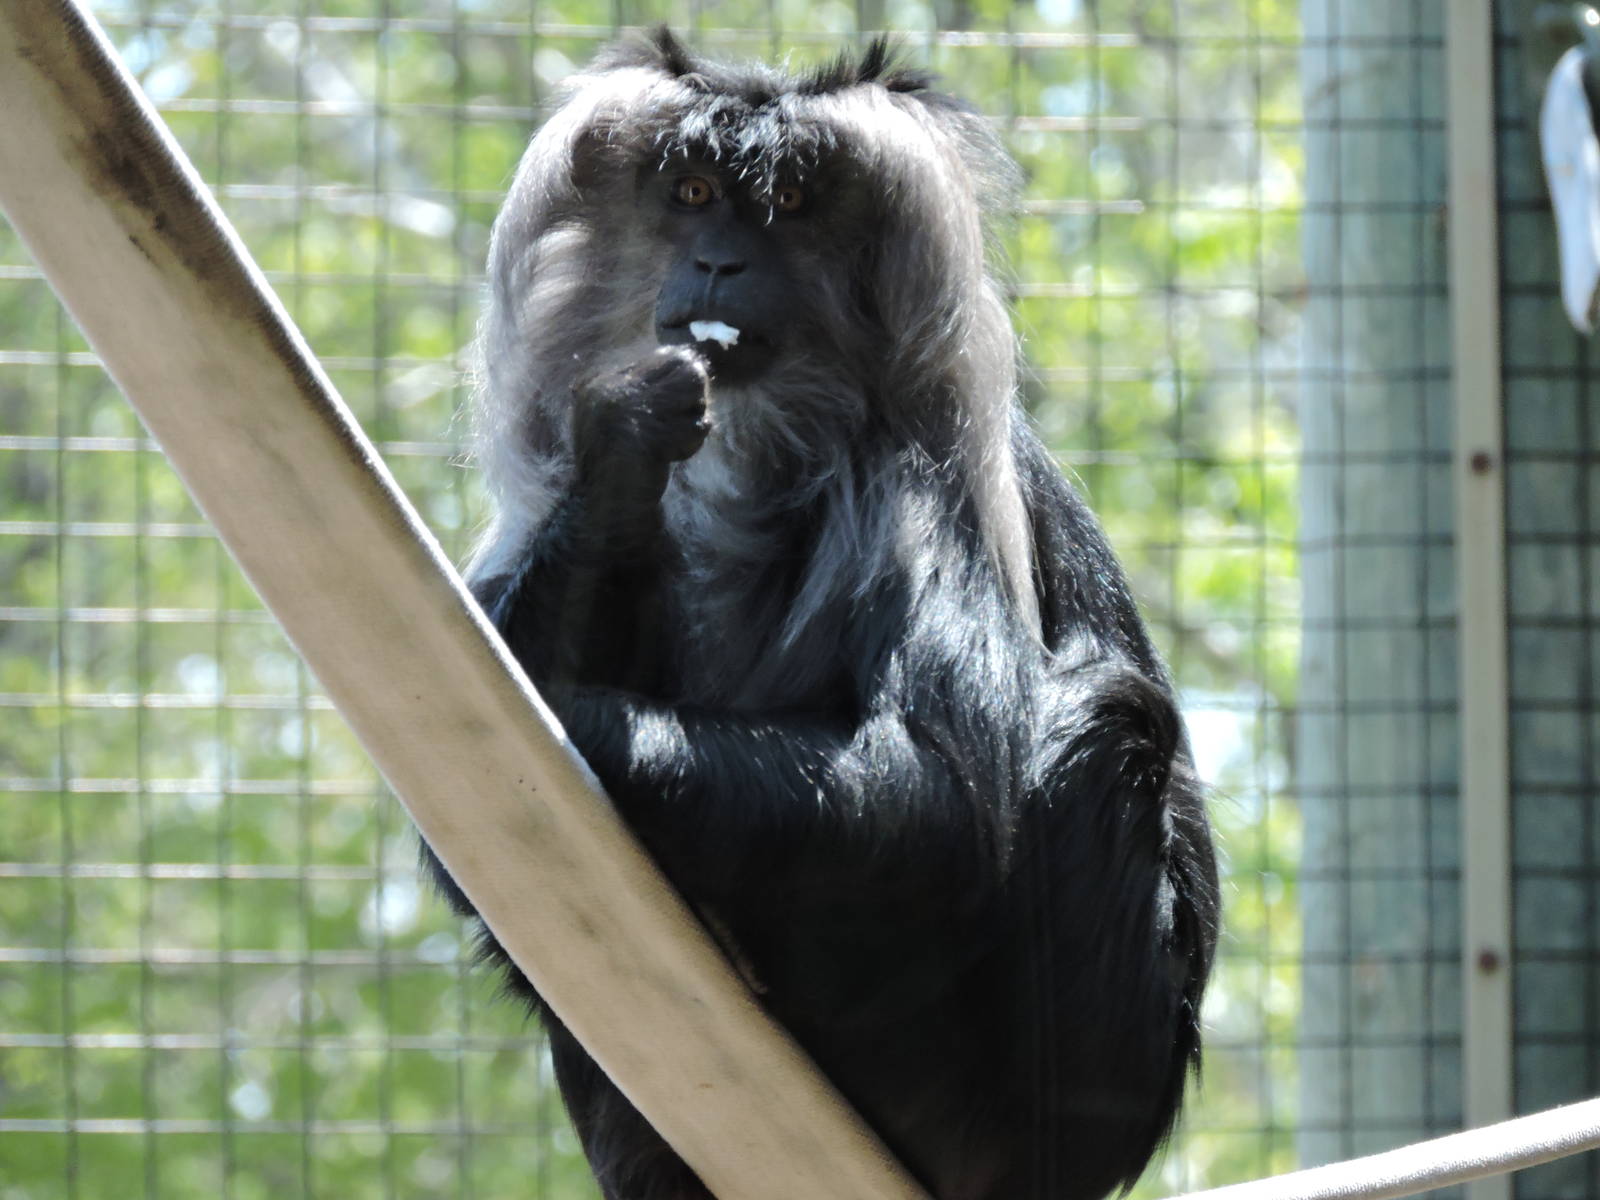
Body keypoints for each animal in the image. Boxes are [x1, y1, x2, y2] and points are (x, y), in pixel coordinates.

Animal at [421, 29, 1218, 1200]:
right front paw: (622, 451)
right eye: (693, 193)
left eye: (790, 202)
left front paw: (578, 715)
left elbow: (941, 796)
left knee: (1112, 714)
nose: (717, 265)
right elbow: (475, 859)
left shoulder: (917, 475)